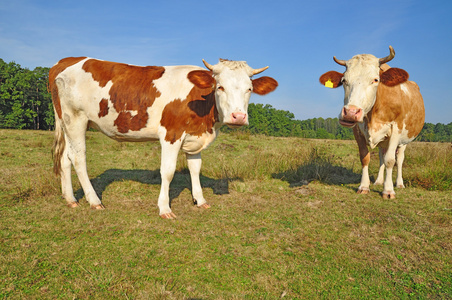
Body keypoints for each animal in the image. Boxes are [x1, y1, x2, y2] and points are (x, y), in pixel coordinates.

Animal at [48, 58, 276, 218]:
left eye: (249, 89)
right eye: (220, 87)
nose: (238, 117)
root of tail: (65, 61)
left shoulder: (195, 137)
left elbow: (195, 169)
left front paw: (200, 200)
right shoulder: (171, 134)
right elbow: (167, 172)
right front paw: (165, 208)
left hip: (66, 122)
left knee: (65, 158)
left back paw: (70, 198)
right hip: (75, 119)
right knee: (78, 158)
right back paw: (94, 201)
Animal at [320, 45, 426, 198]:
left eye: (375, 80)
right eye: (344, 80)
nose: (351, 112)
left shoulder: (396, 128)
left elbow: (390, 160)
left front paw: (388, 190)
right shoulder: (357, 129)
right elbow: (365, 157)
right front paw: (364, 186)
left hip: (405, 140)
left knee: (399, 159)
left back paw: (399, 183)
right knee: (382, 155)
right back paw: (379, 181)